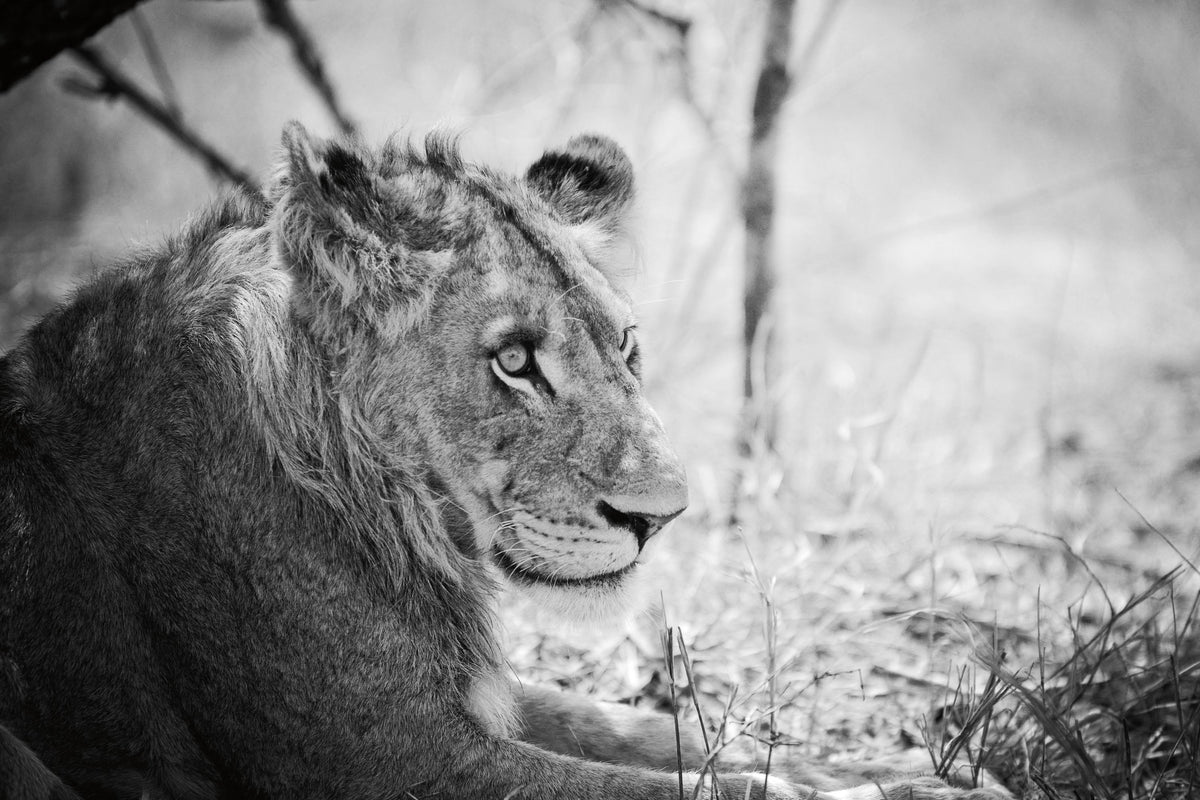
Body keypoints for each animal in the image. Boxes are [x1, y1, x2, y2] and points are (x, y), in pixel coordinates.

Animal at [0, 123, 1010, 800]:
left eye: (626, 346)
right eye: (515, 361)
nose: (661, 516)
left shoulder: (469, 703)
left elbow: (656, 731)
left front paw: (904, 772)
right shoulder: (385, 758)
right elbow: (675, 786)